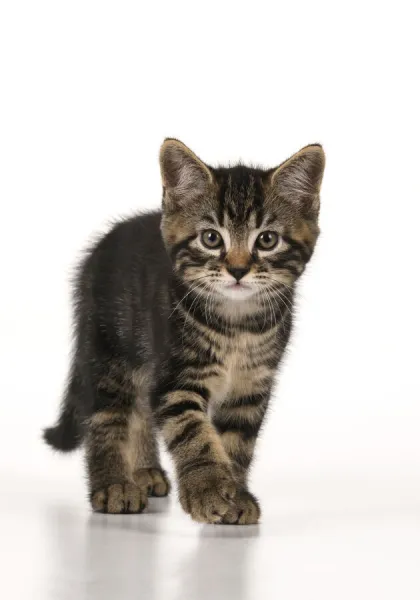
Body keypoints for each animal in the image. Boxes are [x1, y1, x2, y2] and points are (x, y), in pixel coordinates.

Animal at [43, 138, 324, 524]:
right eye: (211, 238)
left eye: (267, 240)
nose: (238, 270)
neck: (237, 324)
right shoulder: (176, 376)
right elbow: (193, 432)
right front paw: (207, 489)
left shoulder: (251, 386)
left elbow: (236, 441)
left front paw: (236, 495)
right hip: (110, 347)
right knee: (107, 416)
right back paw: (114, 485)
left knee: (141, 408)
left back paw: (145, 471)